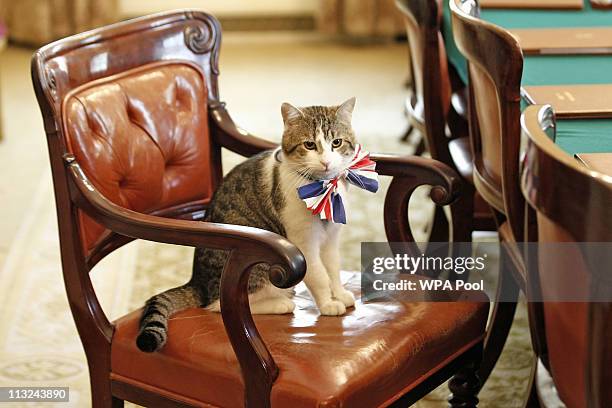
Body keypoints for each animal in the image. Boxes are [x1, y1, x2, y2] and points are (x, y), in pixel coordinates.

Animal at [137, 97, 358, 352]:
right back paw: (281, 304)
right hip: (260, 274)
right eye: (309, 145)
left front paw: (339, 294)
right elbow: (319, 275)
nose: (325, 162)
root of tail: (197, 282)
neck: (322, 188)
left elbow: (332, 268)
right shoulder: (303, 242)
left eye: (336, 143)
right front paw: (328, 304)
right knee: (218, 305)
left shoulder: (331, 238)